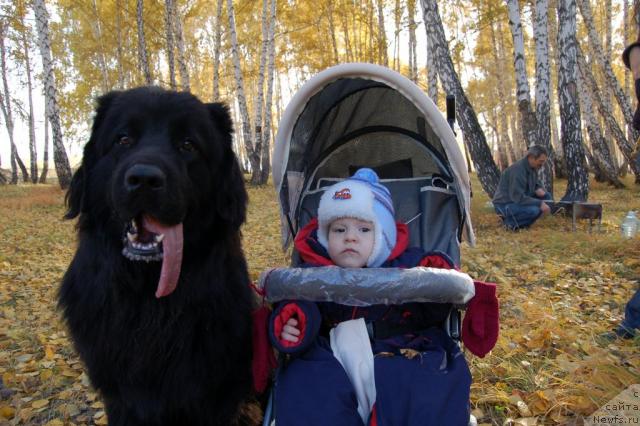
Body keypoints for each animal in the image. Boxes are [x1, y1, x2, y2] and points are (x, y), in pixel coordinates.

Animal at [60, 87, 255, 426]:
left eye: (188, 145)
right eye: (123, 139)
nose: (144, 179)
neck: (149, 300)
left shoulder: (214, 395)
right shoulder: (119, 396)